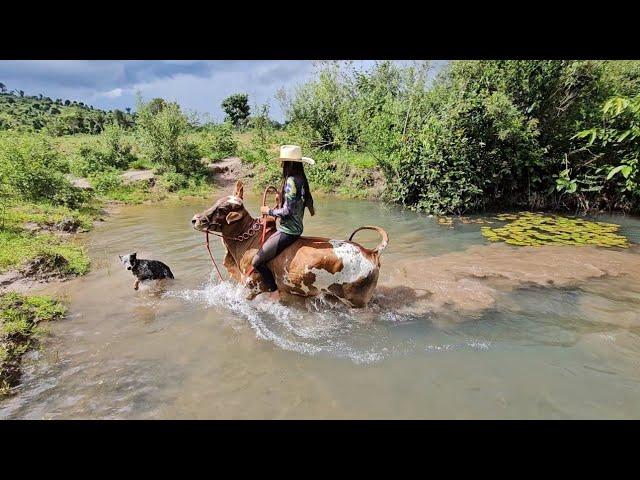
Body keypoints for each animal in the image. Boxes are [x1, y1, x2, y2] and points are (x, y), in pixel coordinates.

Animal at [192, 180, 388, 308]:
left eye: (222, 209)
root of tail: (371, 252)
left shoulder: (252, 286)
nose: (195, 219)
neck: (248, 241)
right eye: (217, 203)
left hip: (356, 303)